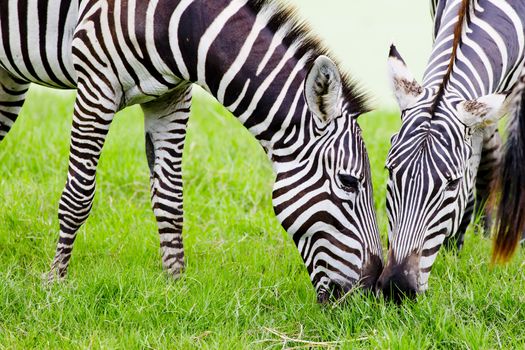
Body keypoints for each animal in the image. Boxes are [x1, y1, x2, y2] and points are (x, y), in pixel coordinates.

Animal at [1, 0, 384, 300]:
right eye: (349, 182)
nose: (369, 290)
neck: (178, 24)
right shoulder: (97, 83)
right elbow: (78, 195)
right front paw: (54, 283)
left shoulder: (171, 98)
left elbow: (170, 200)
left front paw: (175, 286)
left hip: (9, 77)